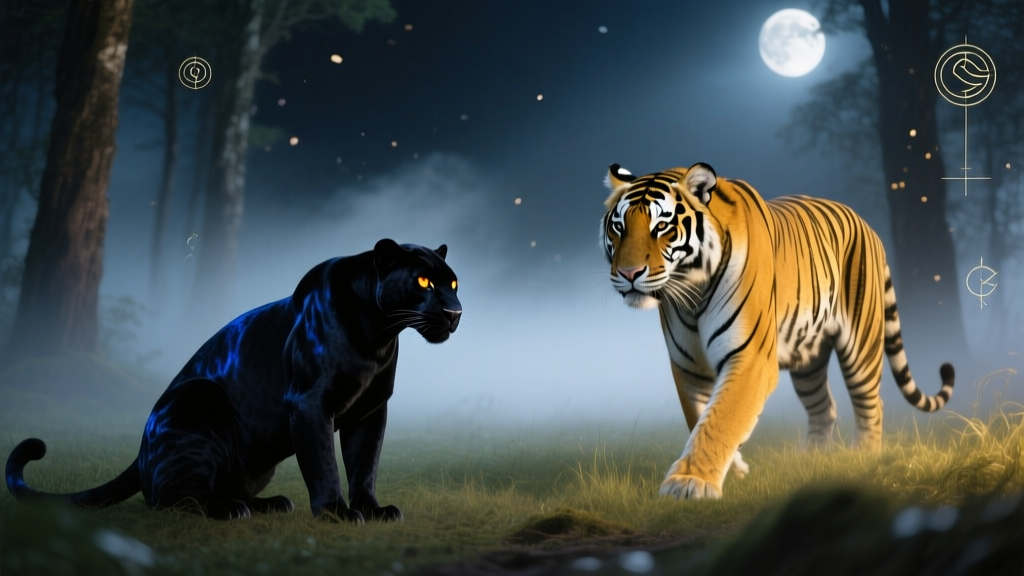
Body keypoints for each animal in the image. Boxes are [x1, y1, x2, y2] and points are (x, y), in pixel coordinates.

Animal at [600, 162, 954, 500]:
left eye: (661, 226)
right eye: (618, 227)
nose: (629, 273)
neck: (689, 292)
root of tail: (868, 227)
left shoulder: (750, 358)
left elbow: (721, 419)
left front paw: (689, 483)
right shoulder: (689, 367)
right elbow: (699, 417)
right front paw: (733, 470)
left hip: (861, 347)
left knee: (871, 404)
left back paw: (863, 459)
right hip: (808, 359)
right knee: (824, 407)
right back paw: (811, 460)